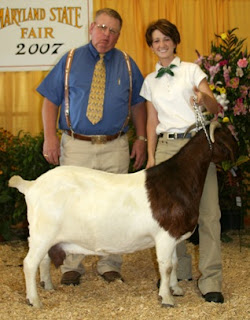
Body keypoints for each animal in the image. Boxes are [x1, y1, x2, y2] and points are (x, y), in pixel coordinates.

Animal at [8, 122, 238, 308]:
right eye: (228, 136)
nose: (239, 150)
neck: (179, 180)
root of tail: (31, 185)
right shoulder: (164, 235)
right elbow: (165, 266)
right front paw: (167, 299)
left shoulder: (172, 236)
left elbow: (173, 263)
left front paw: (175, 289)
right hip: (42, 233)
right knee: (29, 263)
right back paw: (34, 300)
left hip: (48, 236)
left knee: (44, 260)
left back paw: (47, 286)